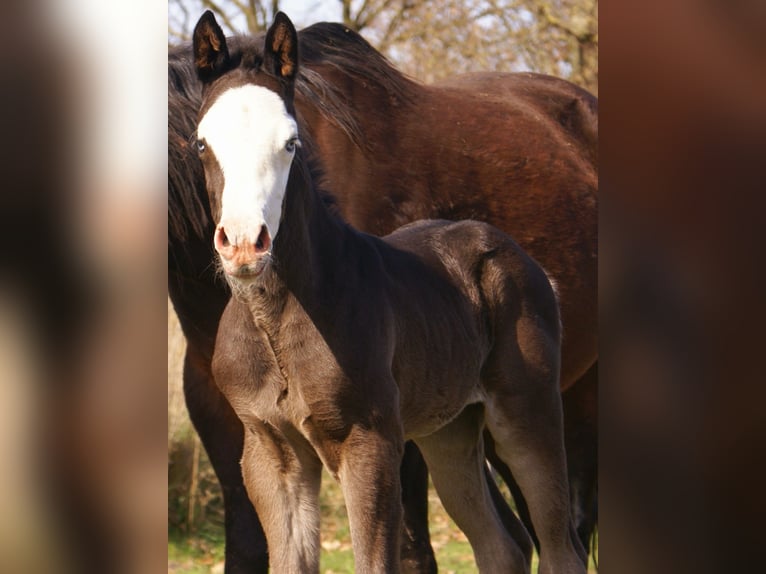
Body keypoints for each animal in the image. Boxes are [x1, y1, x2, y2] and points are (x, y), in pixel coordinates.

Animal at [169, 11, 597, 573]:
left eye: (291, 142)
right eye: (201, 143)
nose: (243, 244)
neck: (276, 321)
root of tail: (523, 259)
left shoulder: (369, 443)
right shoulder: (270, 450)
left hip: (529, 418)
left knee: (560, 543)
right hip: (451, 432)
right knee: (503, 544)